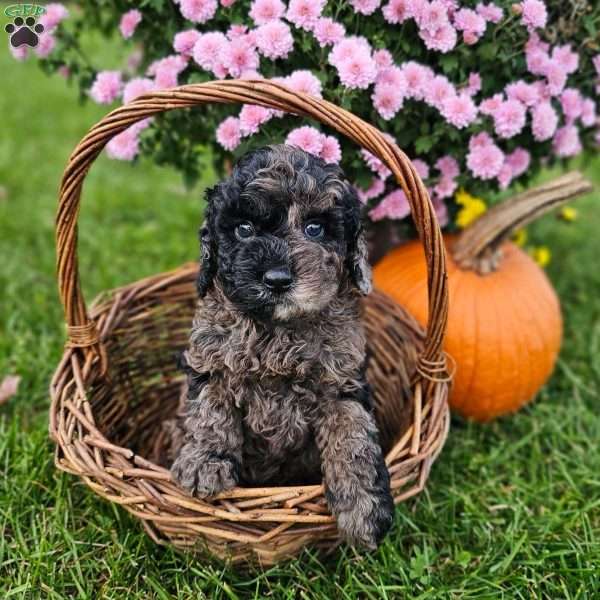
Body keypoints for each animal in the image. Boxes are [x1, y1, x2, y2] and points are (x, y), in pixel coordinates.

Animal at [170, 144, 394, 548]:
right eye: (243, 229)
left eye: (314, 228)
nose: (276, 280)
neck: (277, 331)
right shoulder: (209, 361)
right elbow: (210, 410)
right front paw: (204, 463)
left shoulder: (343, 381)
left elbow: (353, 436)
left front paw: (364, 509)